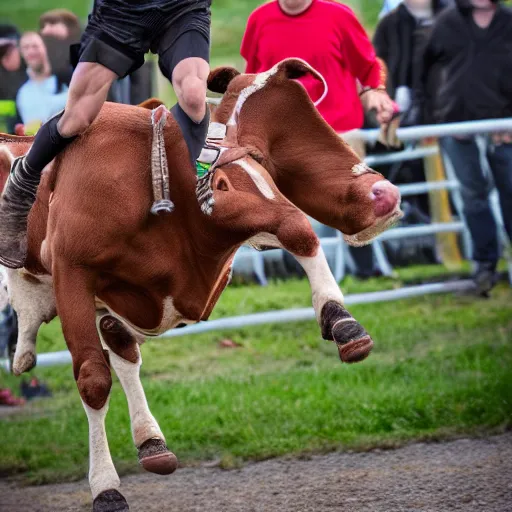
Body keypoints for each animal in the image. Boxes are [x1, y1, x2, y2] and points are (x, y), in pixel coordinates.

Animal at [0, 59, 400, 512]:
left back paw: (152, 442)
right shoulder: (73, 275)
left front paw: (341, 320)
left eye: (266, 166)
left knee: (124, 352)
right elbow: (93, 379)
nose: (385, 194)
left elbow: (296, 227)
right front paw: (105, 488)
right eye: (219, 182)